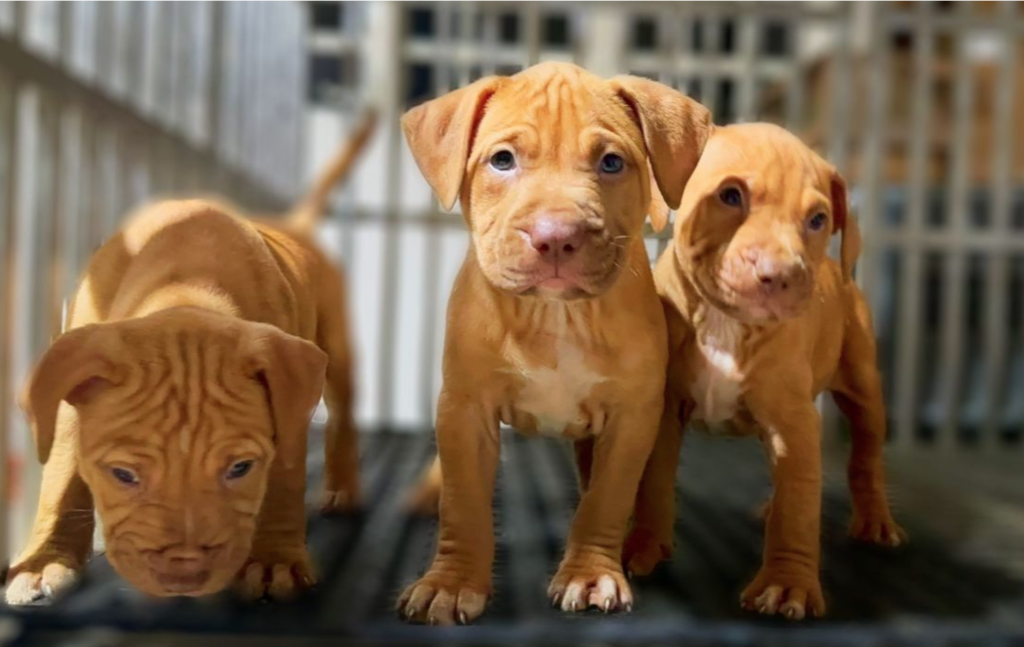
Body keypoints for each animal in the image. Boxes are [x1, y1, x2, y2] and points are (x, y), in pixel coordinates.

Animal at [2, 113, 378, 606]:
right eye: (122, 474)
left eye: (240, 468)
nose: (184, 572)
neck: (185, 287)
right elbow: (62, 472)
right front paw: (44, 559)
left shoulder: (285, 398)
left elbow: (283, 476)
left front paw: (274, 559)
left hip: (336, 350)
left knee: (344, 414)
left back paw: (342, 489)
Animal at [395, 63, 708, 622]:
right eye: (502, 160)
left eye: (611, 162)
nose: (557, 235)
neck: (558, 314)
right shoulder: (465, 407)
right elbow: (464, 500)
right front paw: (451, 583)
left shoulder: (631, 417)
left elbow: (607, 497)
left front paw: (589, 573)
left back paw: (645, 540)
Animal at [622, 122, 905, 622]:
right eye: (730, 196)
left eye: (818, 220)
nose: (782, 273)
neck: (724, 321)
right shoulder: (666, 410)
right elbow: (653, 483)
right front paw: (645, 546)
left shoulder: (793, 420)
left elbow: (799, 508)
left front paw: (786, 585)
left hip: (863, 384)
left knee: (864, 456)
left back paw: (874, 519)